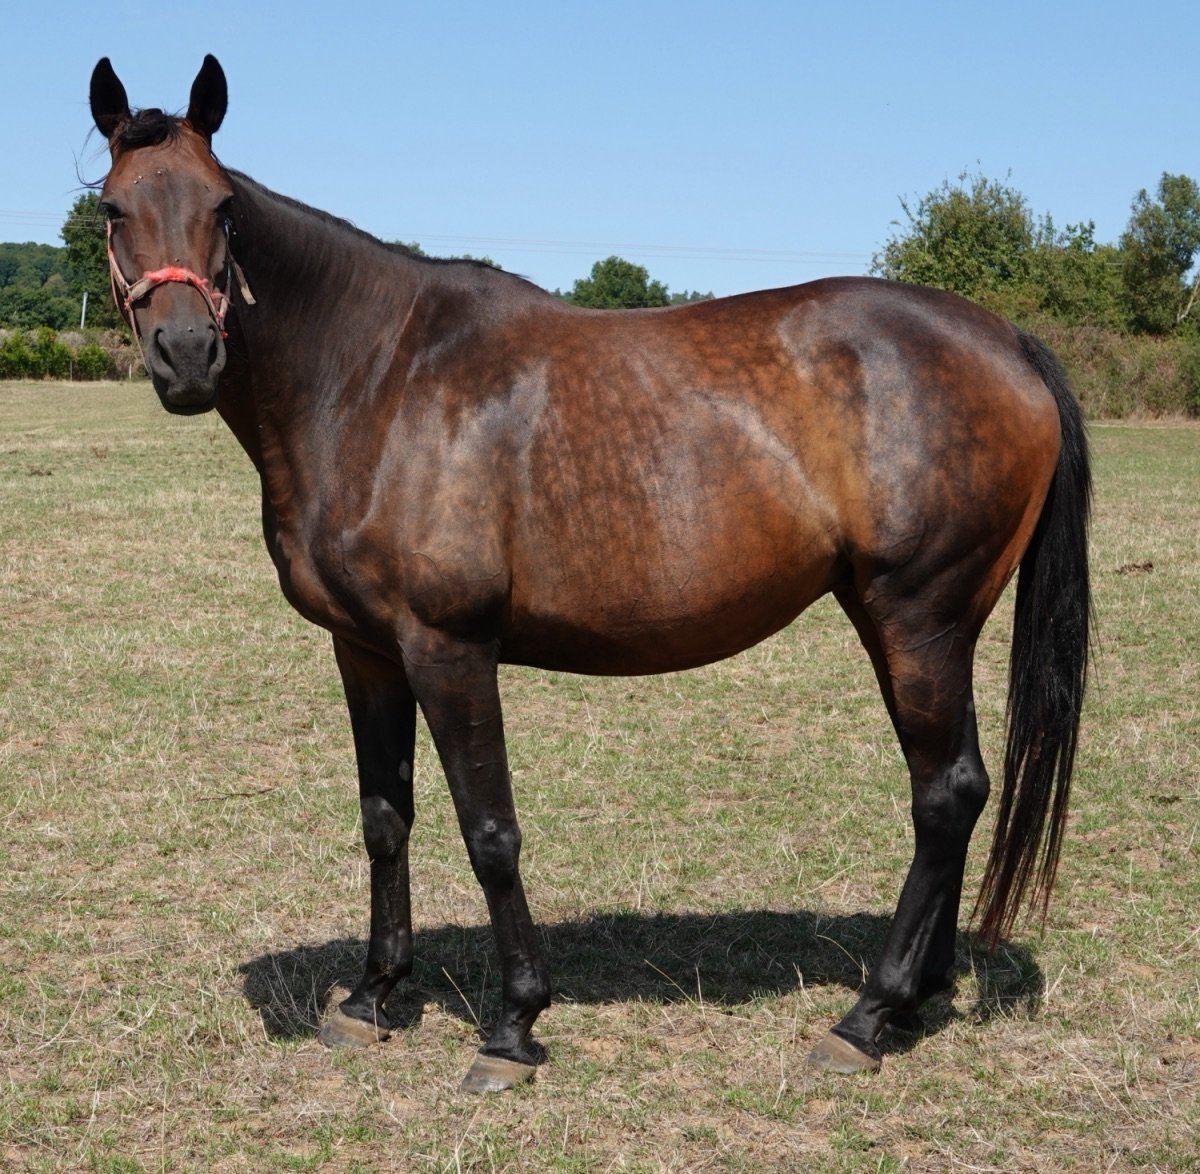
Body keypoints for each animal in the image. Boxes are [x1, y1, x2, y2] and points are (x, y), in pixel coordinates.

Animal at [88, 55, 1090, 1093]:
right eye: (113, 208)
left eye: (224, 209)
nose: (187, 356)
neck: (377, 378)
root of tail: (1006, 341)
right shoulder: (363, 652)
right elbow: (385, 818)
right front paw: (372, 998)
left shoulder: (448, 649)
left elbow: (490, 832)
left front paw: (513, 1027)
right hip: (917, 625)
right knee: (958, 789)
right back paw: (915, 999)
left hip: (917, 619)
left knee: (945, 794)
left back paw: (866, 1015)